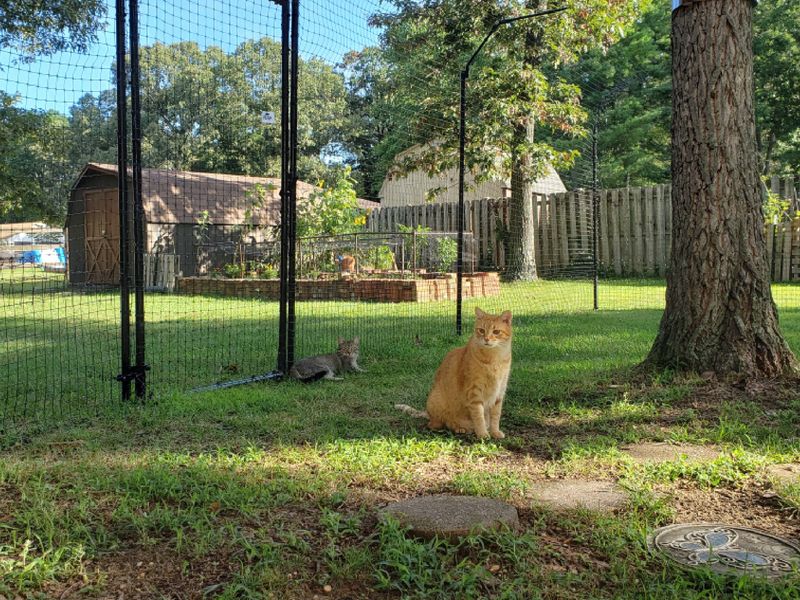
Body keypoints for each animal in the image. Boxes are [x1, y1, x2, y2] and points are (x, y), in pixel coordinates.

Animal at [396, 308, 512, 438]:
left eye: (496, 332)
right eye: (481, 330)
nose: (486, 339)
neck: (494, 358)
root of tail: (427, 413)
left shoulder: (499, 393)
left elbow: (496, 416)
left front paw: (495, 432)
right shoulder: (474, 393)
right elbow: (478, 416)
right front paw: (482, 434)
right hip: (436, 404)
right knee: (439, 424)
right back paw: (459, 428)